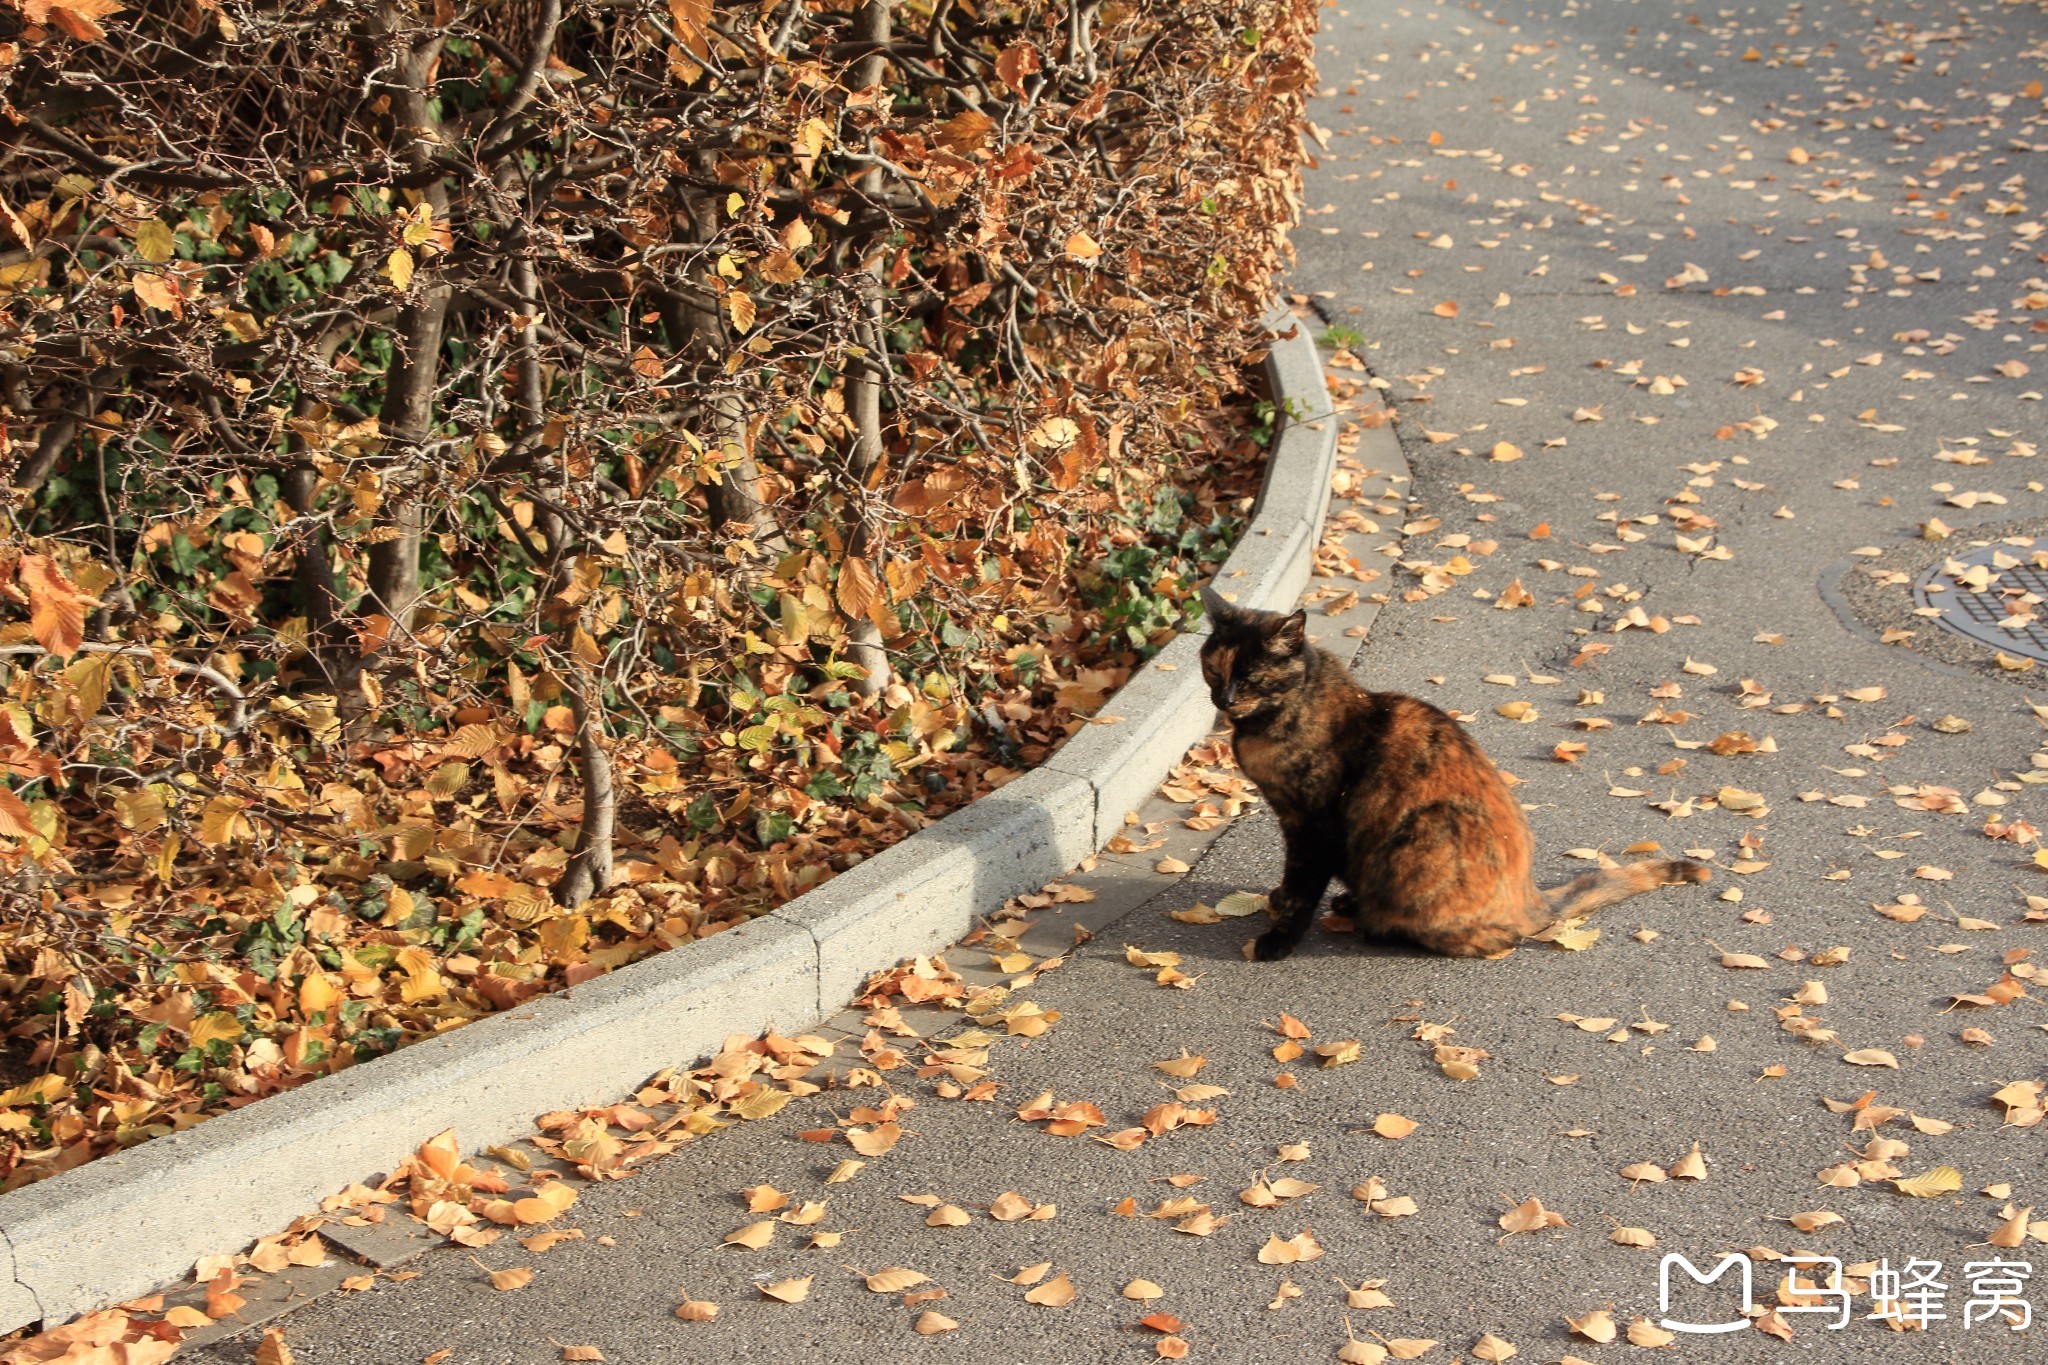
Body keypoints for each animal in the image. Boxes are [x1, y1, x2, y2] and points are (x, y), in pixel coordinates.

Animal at [1196, 589, 1703, 961]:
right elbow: (1293, 881)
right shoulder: (1292, 822)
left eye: (1253, 677)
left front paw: (1278, 940)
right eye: (1213, 669)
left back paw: (1375, 924)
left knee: (1491, 940)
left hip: (1428, 831)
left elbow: (1304, 887)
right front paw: (1279, 899)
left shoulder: (1314, 825)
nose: (1223, 699)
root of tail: (1531, 899)